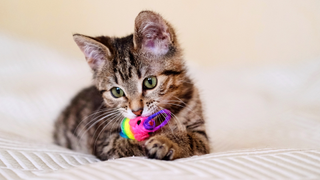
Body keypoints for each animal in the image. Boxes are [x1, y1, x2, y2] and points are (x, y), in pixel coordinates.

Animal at [54, 10, 210, 160]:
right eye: (117, 91)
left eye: (150, 82)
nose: (137, 111)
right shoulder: (105, 142)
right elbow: (127, 144)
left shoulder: (201, 137)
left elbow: (190, 138)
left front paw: (165, 141)